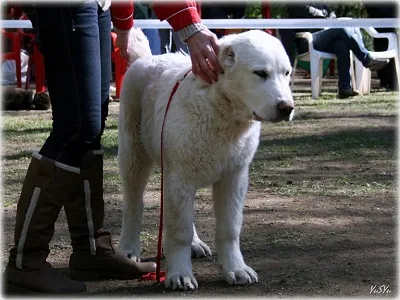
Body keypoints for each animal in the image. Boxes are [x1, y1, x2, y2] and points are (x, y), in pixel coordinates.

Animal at [117, 28, 292, 290]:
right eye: (260, 73)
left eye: (287, 73)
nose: (287, 107)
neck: (222, 109)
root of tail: (147, 58)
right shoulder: (180, 176)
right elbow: (179, 231)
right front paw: (180, 274)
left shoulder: (234, 177)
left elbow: (230, 228)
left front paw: (235, 269)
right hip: (133, 155)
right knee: (133, 203)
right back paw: (128, 249)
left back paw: (195, 245)